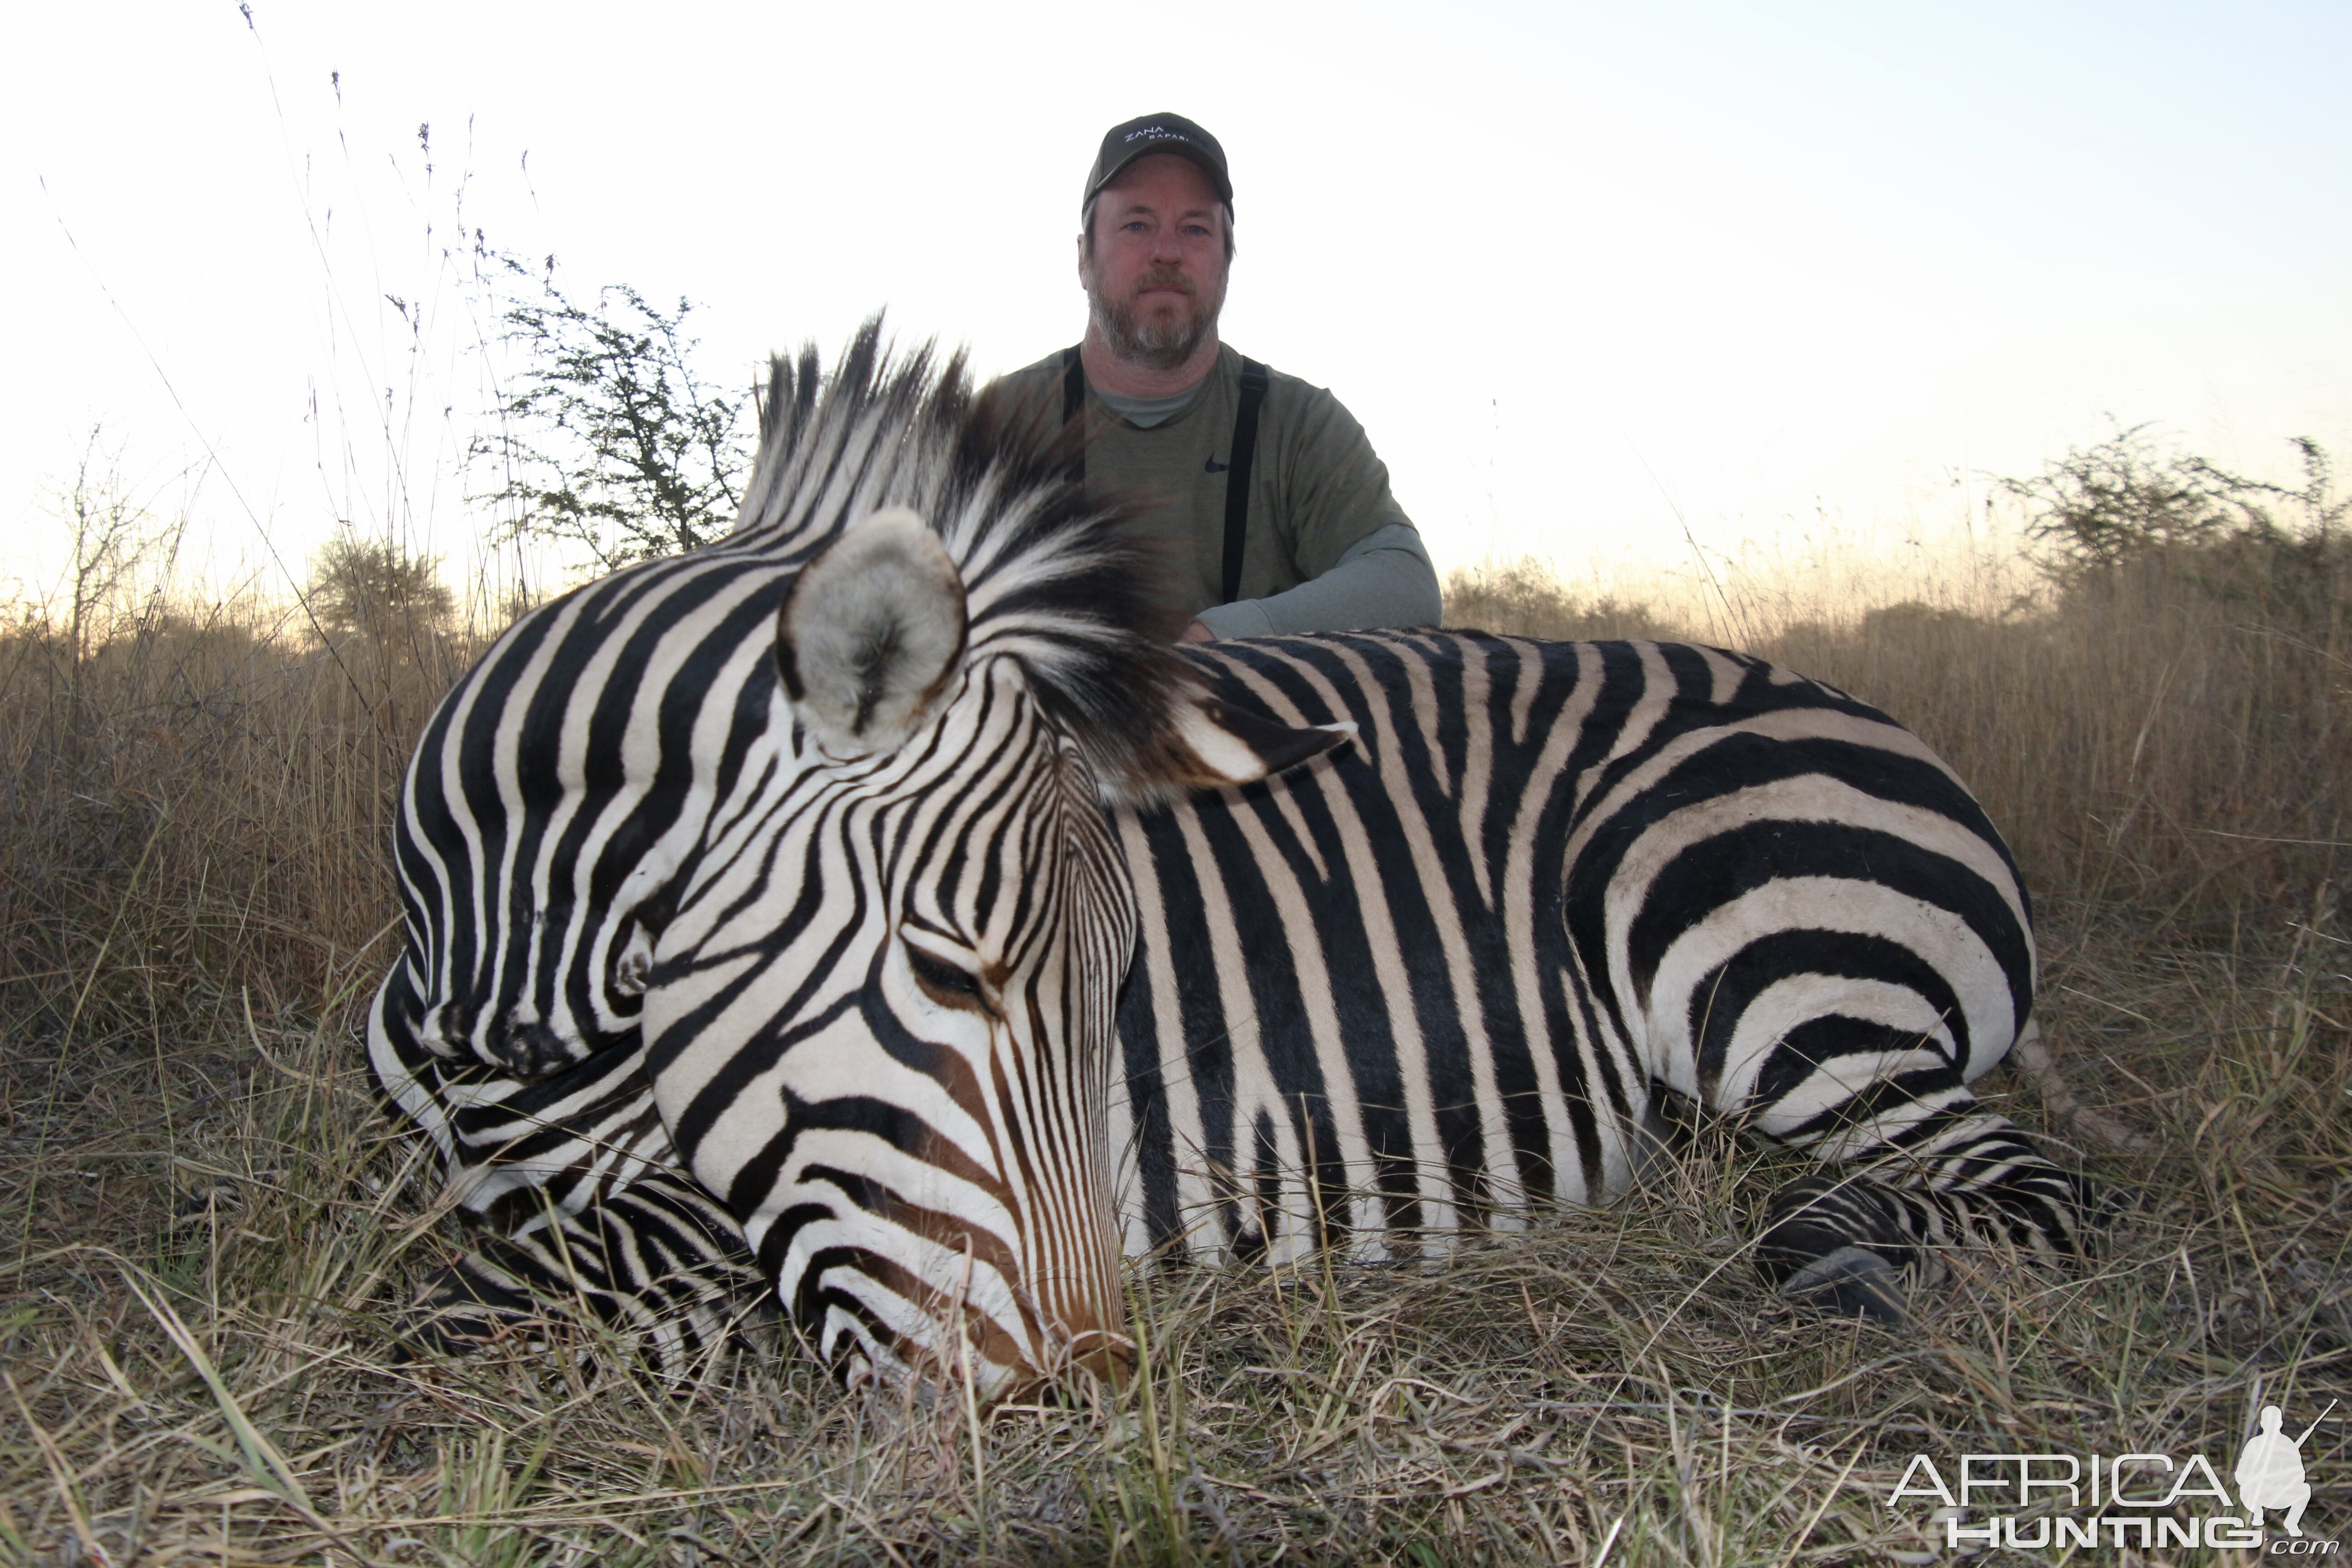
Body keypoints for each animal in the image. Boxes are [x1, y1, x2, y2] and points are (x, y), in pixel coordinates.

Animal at [367, 324, 2098, 1401]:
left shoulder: (712, 1208)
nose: (1075, 1388)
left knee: (2028, 1184)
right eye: (949, 972)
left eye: (1117, 989)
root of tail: (1897, 734)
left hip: (1747, 954)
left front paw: (665, 1344)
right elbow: (461, 1278)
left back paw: (1847, 1261)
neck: (502, 1004)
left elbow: (461, 1311)